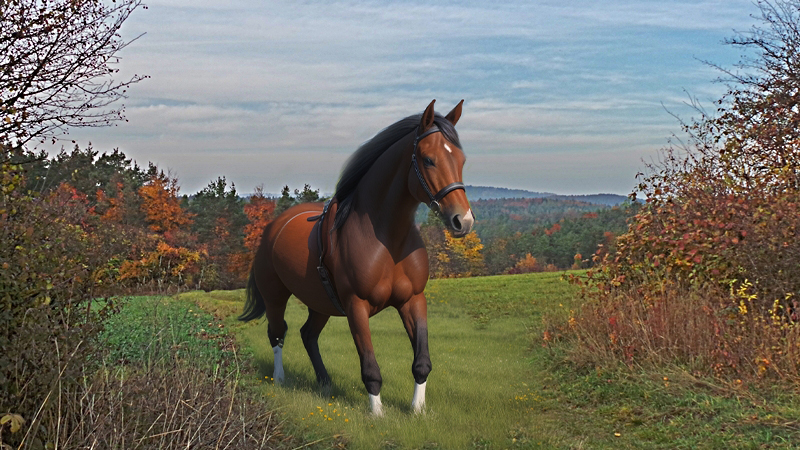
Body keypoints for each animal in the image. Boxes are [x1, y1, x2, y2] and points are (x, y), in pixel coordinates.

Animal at [241, 100, 472, 416]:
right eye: (428, 159)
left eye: (461, 159)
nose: (463, 221)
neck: (388, 240)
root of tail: (273, 228)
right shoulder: (356, 306)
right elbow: (370, 366)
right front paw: (377, 413)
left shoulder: (413, 299)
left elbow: (422, 361)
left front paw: (417, 410)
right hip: (275, 296)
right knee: (277, 333)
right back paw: (280, 379)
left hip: (320, 303)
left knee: (308, 335)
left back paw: (325, 383)